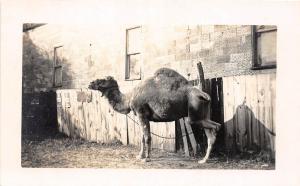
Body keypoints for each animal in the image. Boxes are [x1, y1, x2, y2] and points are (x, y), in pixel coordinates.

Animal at [88, 68, 220, 163]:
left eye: (104, 80)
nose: (90, 83)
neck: (129, 98)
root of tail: (205, 95)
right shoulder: (143, 117)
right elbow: (142, 138)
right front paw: (139, 156)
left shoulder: (141, 113)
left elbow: (147, 137)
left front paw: (147, 158)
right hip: (203, 115)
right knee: (212, 130)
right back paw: (203, 160)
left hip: (194, 115)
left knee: (214, 127)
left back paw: (205, 159)